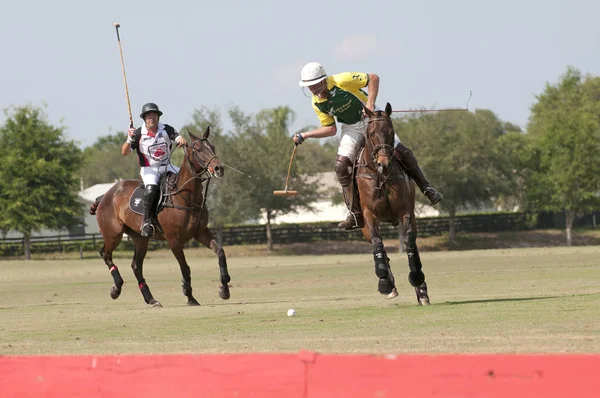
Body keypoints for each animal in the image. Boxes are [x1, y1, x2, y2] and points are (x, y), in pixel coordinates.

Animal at [88, 127, 231, 308]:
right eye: (198, 149)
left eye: (212, 147)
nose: (219, 168)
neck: (186, 196)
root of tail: (105, 195)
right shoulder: (173, 240)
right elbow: (185, 268)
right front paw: (190, 296)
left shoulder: (201, 232)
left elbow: (220, 252)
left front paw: (224, 289)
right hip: (113, 234)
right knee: (105, 254)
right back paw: (116, 288)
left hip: (140, 238)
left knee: (136, 266)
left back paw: (151, 299)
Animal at [358, 104, 428, 306]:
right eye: (371, 133)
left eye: (391, 131)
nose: (385, 165)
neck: (380, 176)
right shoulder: (369, 214)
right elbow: (377, 243)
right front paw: (385, 283)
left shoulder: (405, 210)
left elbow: (410, 241)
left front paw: (417, 279)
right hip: (362, 226)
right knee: (379, 246)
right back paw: (390, 284)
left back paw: (422, 292)